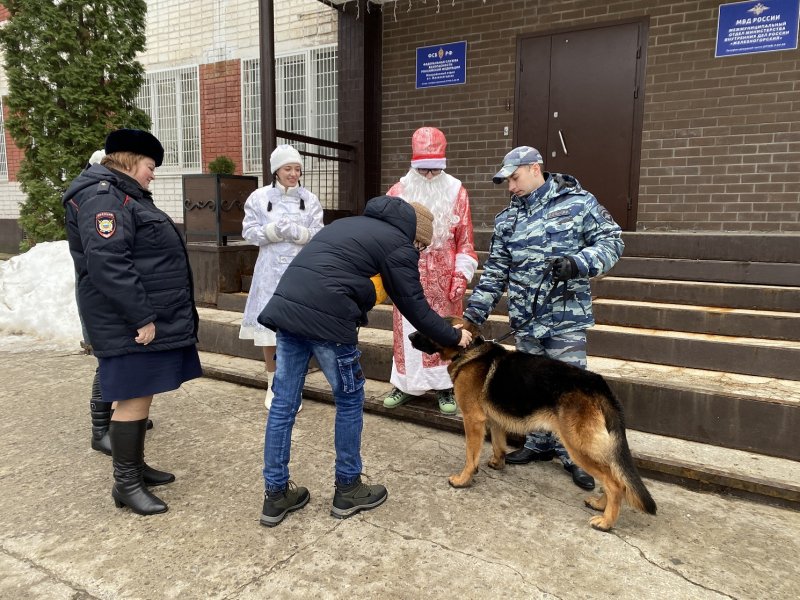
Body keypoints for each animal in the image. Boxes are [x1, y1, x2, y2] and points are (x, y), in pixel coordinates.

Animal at [410, 318, 660, 528]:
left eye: (430, 329)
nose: (410, 335)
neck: (469, 351)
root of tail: (598, 384)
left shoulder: (473, 420)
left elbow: (470, 456)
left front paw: (464, 479)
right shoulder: (495, 420)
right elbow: (499, 444)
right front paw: (497, 463)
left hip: (578, 446)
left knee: (616, 483)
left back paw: (606, 521)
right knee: (613, 478)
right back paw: (600, 504)